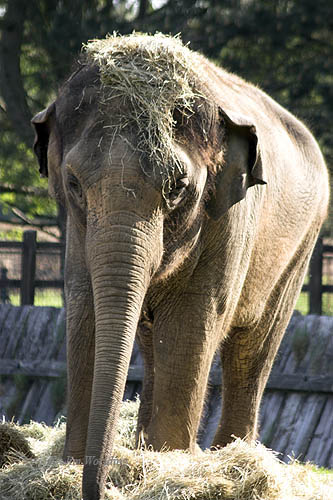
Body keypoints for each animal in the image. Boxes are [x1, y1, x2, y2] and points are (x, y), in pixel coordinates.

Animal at [31, 33, 326, 498]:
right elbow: (86, 307)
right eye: (74, 183)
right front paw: (71, 467)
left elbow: (193, 317)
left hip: (301, 248)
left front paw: (168, 466)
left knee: (252, 351)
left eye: (176, 187)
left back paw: (234, 459)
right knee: (155, 345)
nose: (101, 487)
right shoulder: (77, 233)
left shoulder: (227, 219)